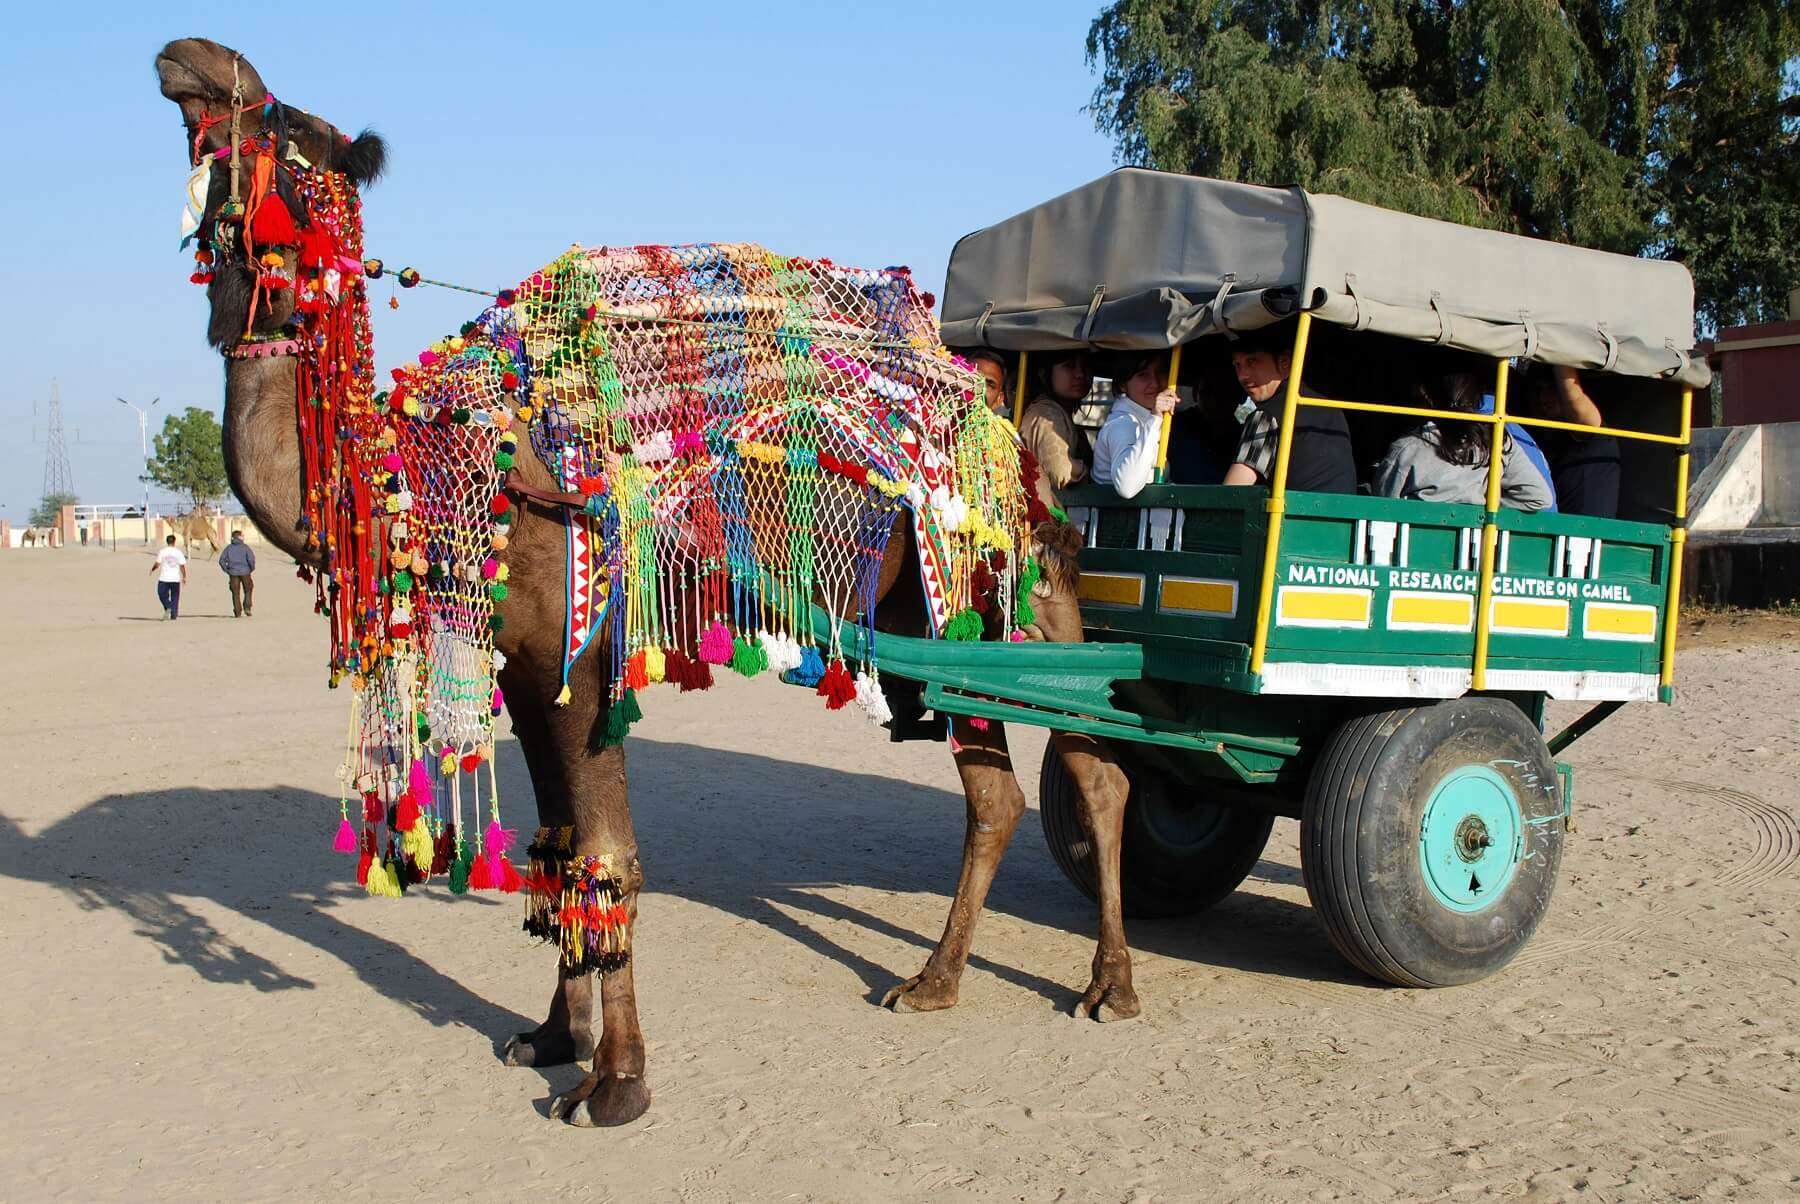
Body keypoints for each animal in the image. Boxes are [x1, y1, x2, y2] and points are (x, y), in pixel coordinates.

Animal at [155, 37, 1137, 1128]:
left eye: (284, 125)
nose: (188, 61)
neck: (442, 465)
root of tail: (1018, 435)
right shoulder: (526, 664)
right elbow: (552, 845)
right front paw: (550, 1037)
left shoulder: (586, 652)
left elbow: (606, 853)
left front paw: (617, 1082)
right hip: (932, 621)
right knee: (1008, 791)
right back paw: (938, 981)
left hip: (1007, 590)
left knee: (1089, 765)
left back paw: (1104, 984)